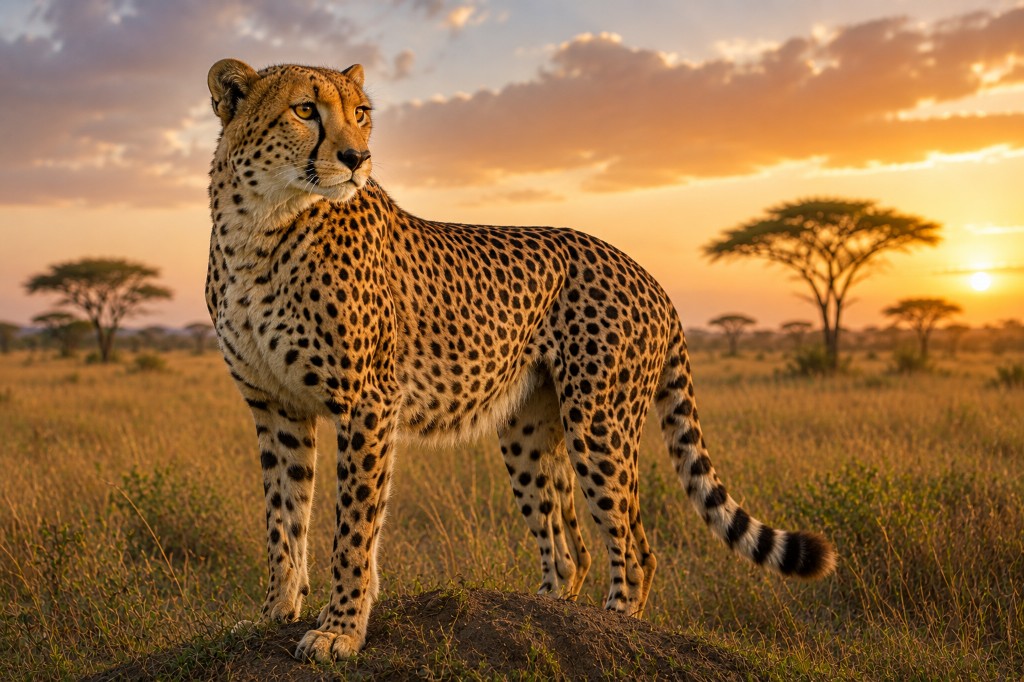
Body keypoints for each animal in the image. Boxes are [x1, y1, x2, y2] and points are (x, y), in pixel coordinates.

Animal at [205, 58, 836, 663]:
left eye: (361, 113)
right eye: (305, 110)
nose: (357, 159)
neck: (261, 224)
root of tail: (645, 272)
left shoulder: (367, 403)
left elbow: (354, 527)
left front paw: (340, 631)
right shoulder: (276, 406)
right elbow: (283, 518)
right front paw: (275, 613)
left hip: (599, 423)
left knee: (635, 548)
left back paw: (616, 625)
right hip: (528, 429)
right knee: (571, 552)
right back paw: (545, 613)